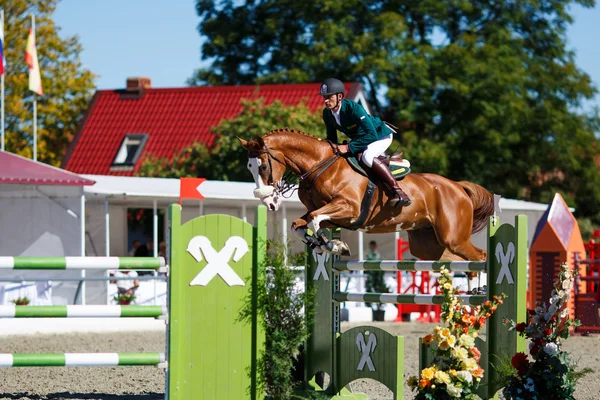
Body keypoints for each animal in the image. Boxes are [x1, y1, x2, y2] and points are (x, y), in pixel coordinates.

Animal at [237, 130, 494, 290]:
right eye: (248, 167)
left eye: (263, 167)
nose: (269, 203)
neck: (319, 166)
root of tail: (458, 187)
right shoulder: (335, 216)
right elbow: (300, 224)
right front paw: (327, 244)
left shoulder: (348, 209)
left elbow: (314, 220)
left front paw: (331, 245)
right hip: (429, 246)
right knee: (464, 264)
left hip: (454, 238)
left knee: (480, 256)